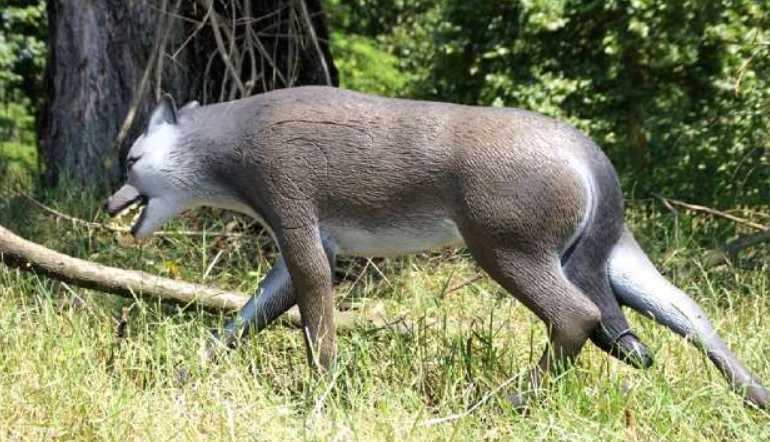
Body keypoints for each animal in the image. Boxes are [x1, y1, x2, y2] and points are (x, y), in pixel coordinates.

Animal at [107, 87, 768, 408]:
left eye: (132, 159)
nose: (112, 203)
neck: (231, 141)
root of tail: (590, 156)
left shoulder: (295, 221)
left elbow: (315, 321)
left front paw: (323, 397)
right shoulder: (315, 243)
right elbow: (246, 319)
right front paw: (185, 373)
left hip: (506, 250)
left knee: (577, 317)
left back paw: (508, 401)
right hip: (611, 258)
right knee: (691, 318)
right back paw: (754, 399)